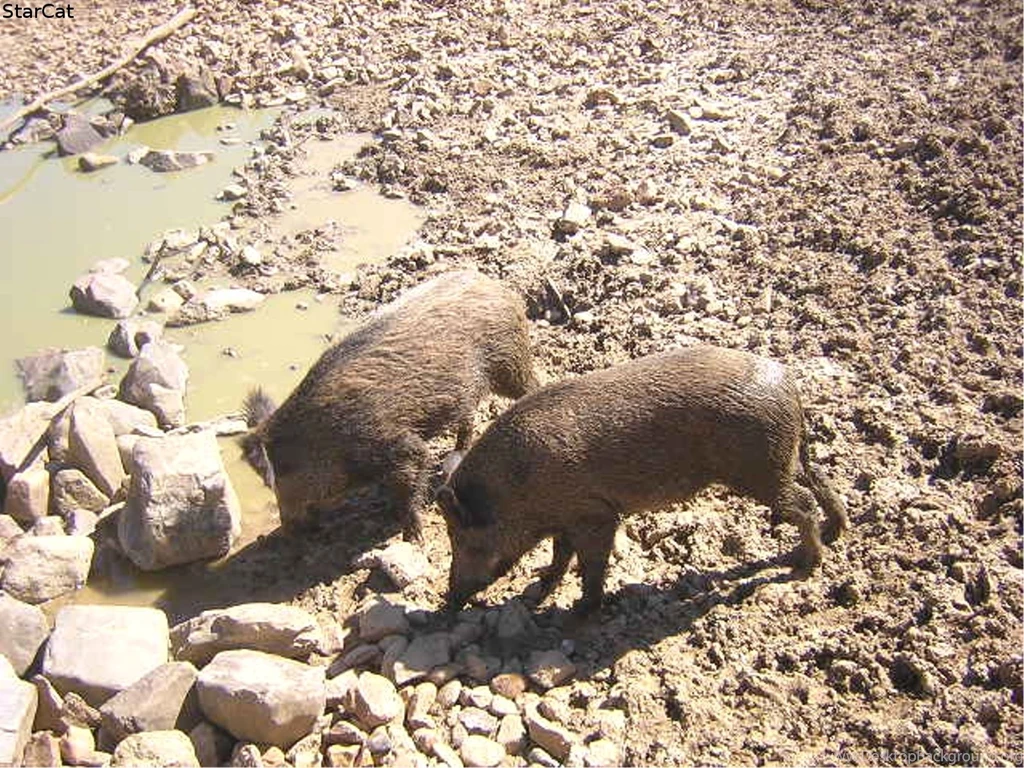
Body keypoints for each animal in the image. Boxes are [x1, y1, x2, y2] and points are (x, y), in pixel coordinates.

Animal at [241, 270, 538, 540]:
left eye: (278, 478)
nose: (287, 533)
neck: (328, 438)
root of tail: (496, 286)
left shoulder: (397, 444)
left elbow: (410, 477)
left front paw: (412, 536)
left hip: (509, 362)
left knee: (530, 385)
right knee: (467, 417)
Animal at [437, 345, 848, 615]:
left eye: (466, 540)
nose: (449, 600)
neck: (516, 490)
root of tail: (789, 385)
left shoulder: (595, 515)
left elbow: (590, 563)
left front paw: (581, 610)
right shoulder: (567, 517)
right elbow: (560, 555)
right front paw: (539, 584)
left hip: (759, 468)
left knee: (803, 502)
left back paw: (805, 564)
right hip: (785, 457)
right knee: (821, 480)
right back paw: (834, 533)